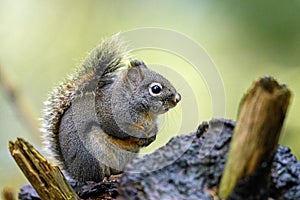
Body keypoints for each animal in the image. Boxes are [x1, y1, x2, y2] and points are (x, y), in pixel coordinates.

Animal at [41, 34, 180, 183]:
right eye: (155, 89)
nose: (178, 98)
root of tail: (75, 173)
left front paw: (152, 136)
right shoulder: (110, 113)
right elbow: (118, 129)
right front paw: (141, 135)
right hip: (93, 153)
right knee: (98, 177)